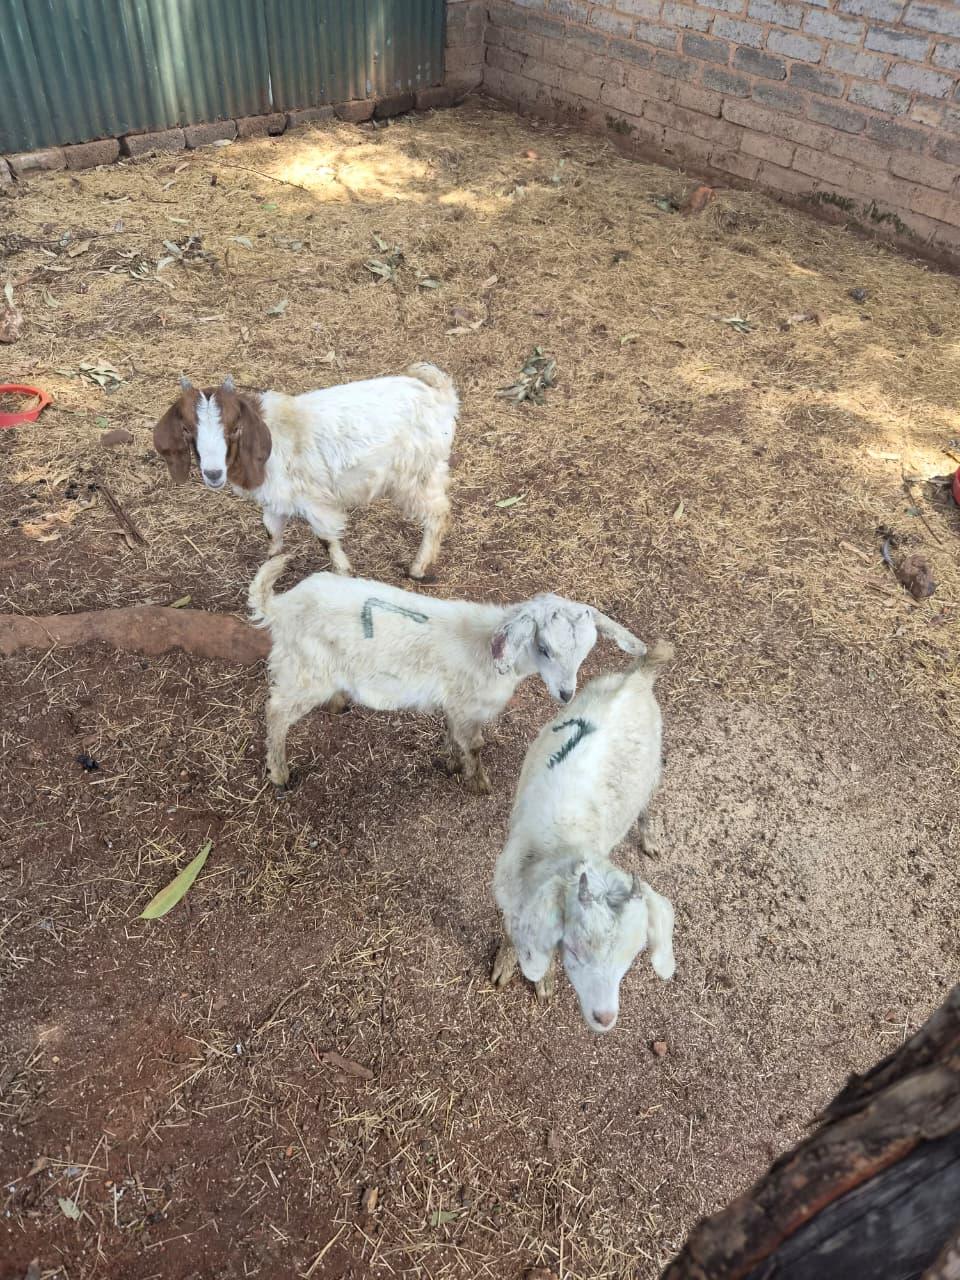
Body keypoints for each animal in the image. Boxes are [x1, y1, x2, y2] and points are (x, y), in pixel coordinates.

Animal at [153, 363, 458, 580]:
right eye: (187, 429)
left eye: (234, 428)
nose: (213, 473)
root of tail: (441, 396)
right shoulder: (274, 500)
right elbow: (272, 534)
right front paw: (269, 571)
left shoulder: (315, 502)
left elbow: (327, 540)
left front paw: (342, 574)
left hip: (417, 474)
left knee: (438, 513)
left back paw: (417, 569)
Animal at [248, 554, 646, 794]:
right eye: (545, 647)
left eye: (586, 652)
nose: (565, 694)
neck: (488, 647)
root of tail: (279, 606)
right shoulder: (468, 706)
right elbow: (475, 744)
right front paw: (479, 782)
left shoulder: (457, 705)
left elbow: (455, 737)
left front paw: (454, 764)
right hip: (305, 670)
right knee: (276, 712)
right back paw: (280, 774)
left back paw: (338, 703)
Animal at [492, 640, 676, 1033]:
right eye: (574, 949)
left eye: (631, 957)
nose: (604, 1018)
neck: (563, 844)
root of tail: (638, 677)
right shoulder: (508, 889)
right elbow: (514, 931)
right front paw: (509, 967)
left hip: (652, 767)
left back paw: (650, 840)